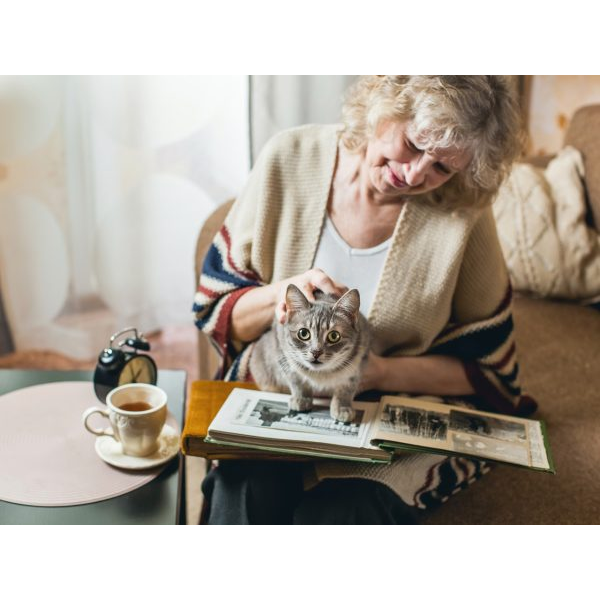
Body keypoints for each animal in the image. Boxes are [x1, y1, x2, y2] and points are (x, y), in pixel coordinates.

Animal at [248, 284, 370, 422]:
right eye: (303, 333)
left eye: (334, 336)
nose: (316, 352)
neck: (321, 374)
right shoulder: (284, 356)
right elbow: (297, 381)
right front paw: (301, 398)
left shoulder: (358, 363)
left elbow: (346, 389)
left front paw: (342, 407)